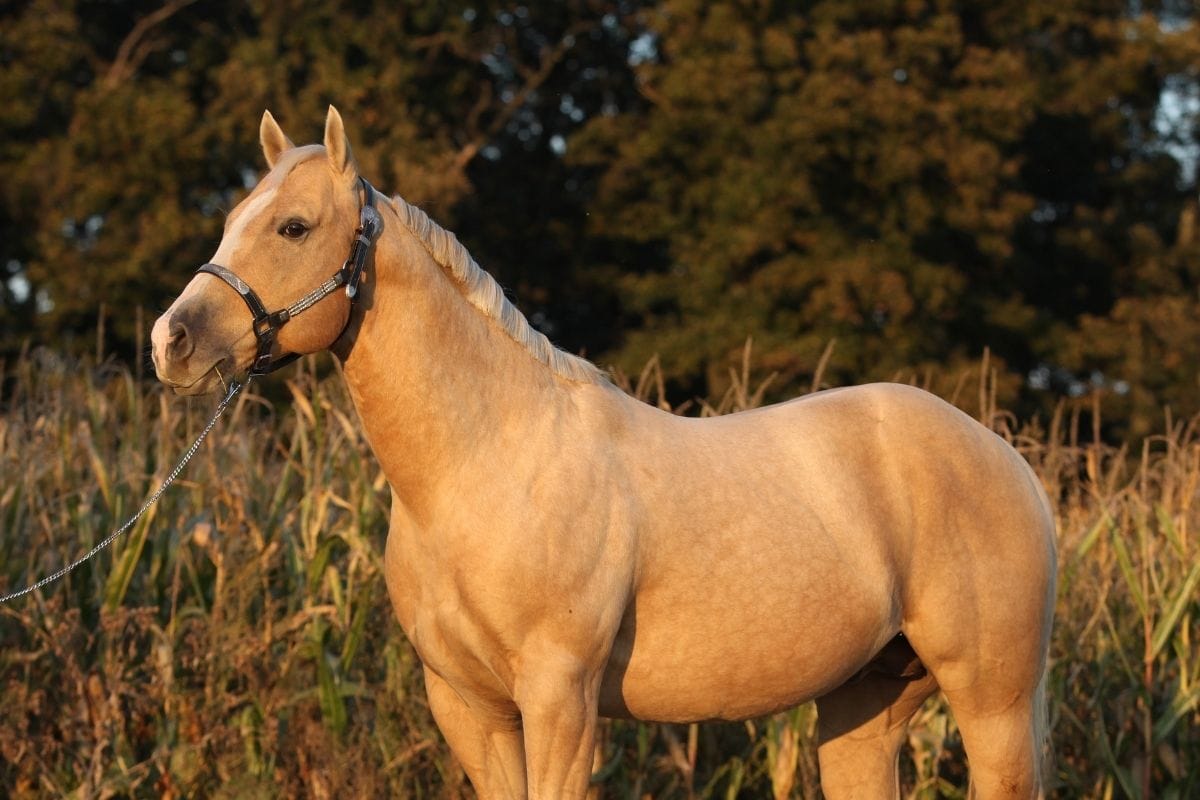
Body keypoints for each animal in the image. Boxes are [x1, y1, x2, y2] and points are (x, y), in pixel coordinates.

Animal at [151, 106, 1057, 799]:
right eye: (230, 220)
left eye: (293, 226)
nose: (172, 341)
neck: (483, 466)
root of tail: (1010, 463)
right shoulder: (470, 707)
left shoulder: (562, 700)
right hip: (863, 709)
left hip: (994, 707)